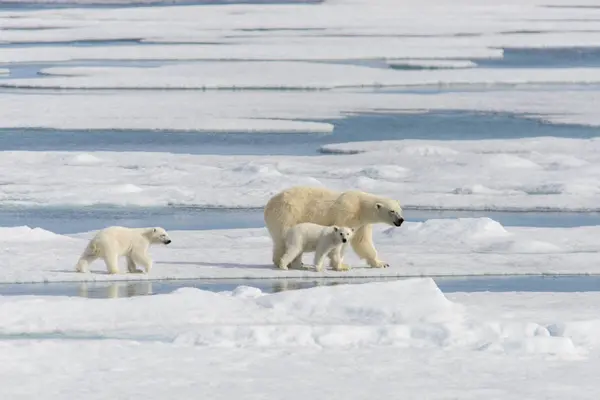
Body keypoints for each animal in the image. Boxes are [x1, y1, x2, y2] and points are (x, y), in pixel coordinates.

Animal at [264, 186, 406, 270]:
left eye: (400, 210)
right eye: (392, 211)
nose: (401, 220)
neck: (360, 207)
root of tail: (269, 204)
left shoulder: (362, 223)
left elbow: (362, 241)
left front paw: (381, 263)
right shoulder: (347, 214)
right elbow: (341, 241)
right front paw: (341, 266)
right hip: (287, 213)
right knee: (283, 238)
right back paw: (285, 262)